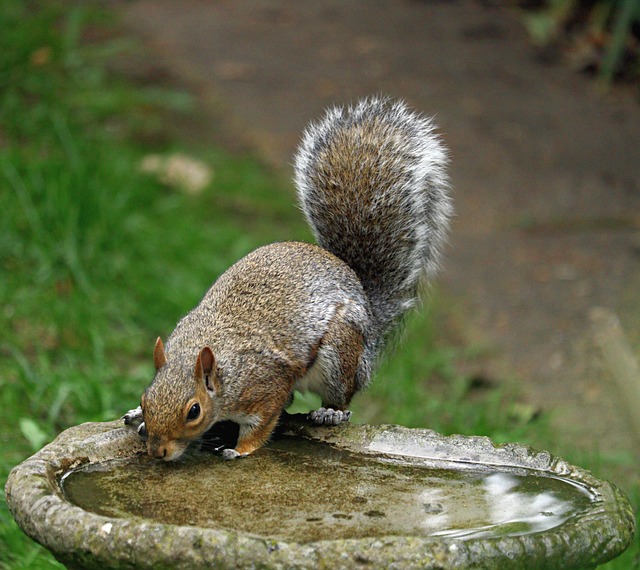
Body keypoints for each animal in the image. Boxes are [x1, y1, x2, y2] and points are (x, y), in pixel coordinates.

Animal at [124, 96, 450, 458]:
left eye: (193, 411)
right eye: (146, 398)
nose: (157, 451)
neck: (217, 366)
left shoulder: (267, 386)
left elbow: (263, 424)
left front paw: (240, 450)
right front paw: (138, 417)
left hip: (340, 353)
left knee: (343, 394)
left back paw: (331, 412)